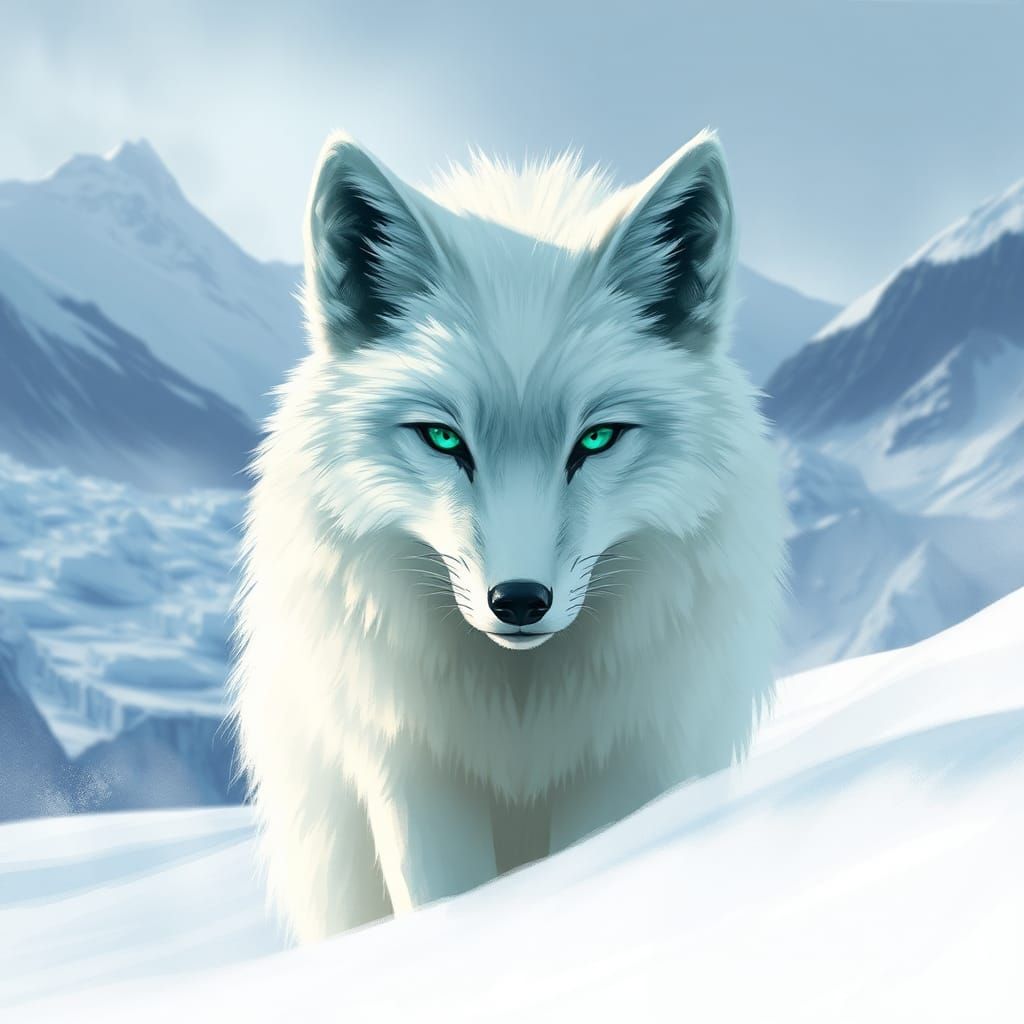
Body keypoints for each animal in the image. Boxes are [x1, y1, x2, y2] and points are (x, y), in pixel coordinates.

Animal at [231, 127, 787, 942]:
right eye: (442, 438)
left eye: (596, 439)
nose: (519, 601)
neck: (519, 714)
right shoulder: (410, 774)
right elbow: (438, 904)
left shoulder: (623, 761)